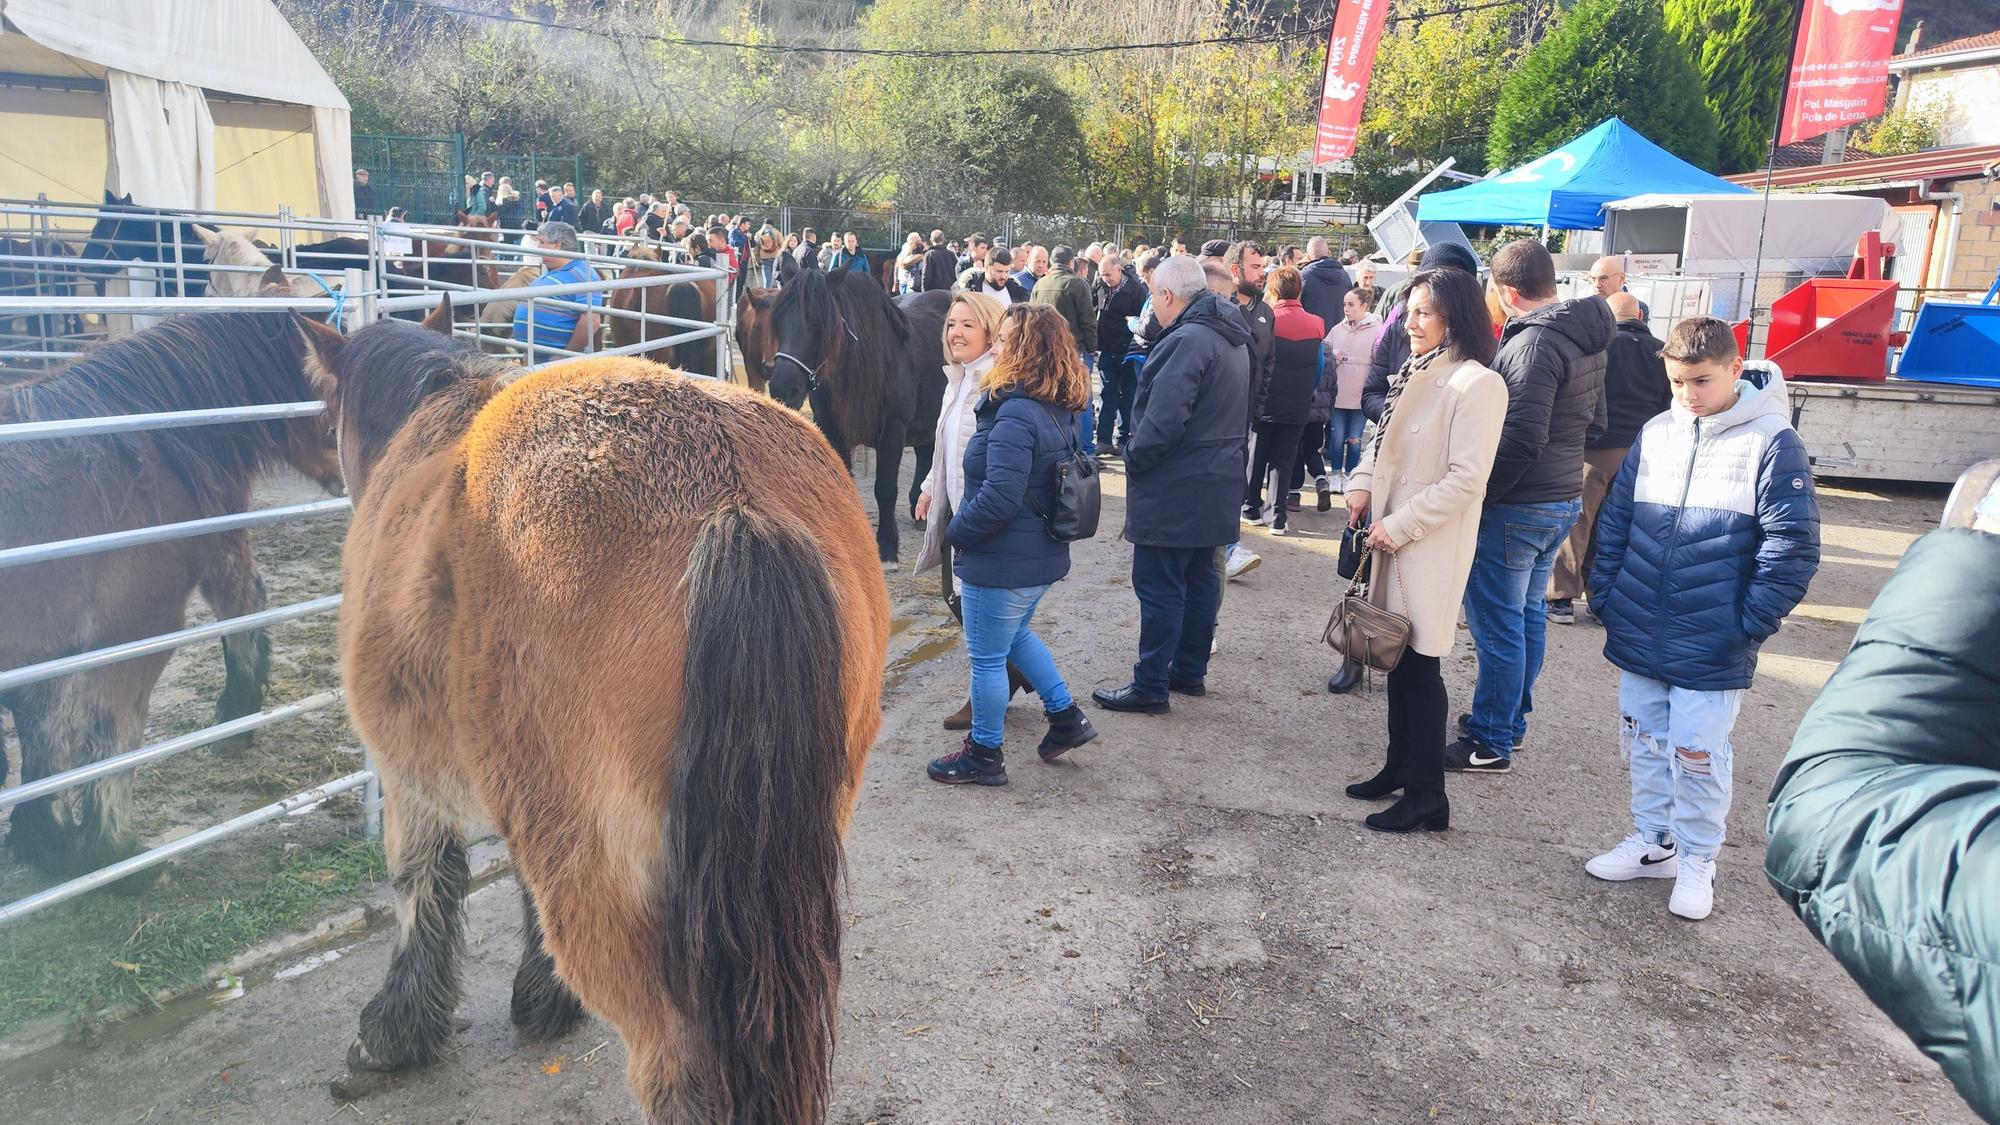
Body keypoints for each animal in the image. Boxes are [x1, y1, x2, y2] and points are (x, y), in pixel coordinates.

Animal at [1, 308, 344, 876]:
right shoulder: (132, 632)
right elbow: (113, 733)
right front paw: (114, 858)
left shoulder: (51, 651)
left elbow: (46, 732)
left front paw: (49, 842)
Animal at [768, 272, 948, 560]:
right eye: (779, 319)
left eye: (819, 323)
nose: (783, 388)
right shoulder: (832, 429)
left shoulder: (893, 432)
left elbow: (885, 489)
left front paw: (887, 546)